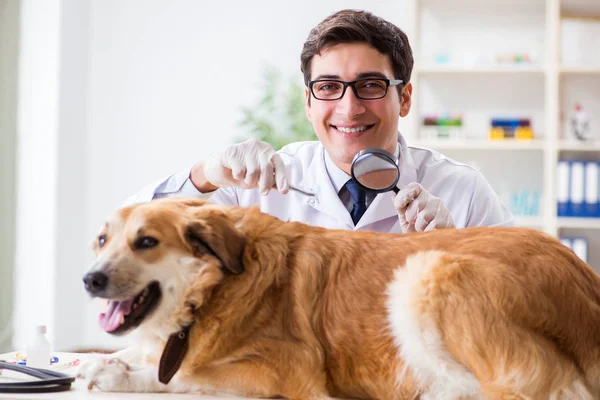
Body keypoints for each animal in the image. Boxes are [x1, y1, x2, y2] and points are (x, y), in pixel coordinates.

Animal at [77, 198, 600, 398]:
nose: (90, 280)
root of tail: (583, 281)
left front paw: (120, 374)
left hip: (426, 271)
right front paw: (97, 361)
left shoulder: (287, 371)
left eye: (146, 242)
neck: (215, 288)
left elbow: (184, 375)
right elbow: (136, 350)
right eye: (102, 240)